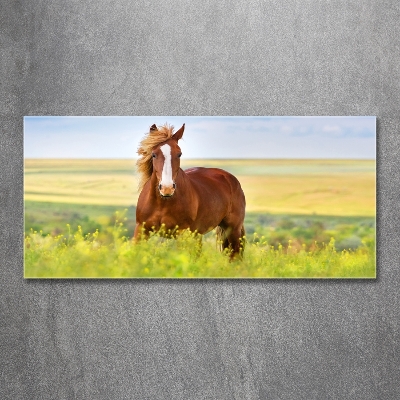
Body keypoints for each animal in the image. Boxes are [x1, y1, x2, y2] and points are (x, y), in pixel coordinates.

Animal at [134, 123, 245, 258]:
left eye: (179, 154)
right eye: (154, 154)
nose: (167, 188)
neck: (162, 203)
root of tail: (230, 178)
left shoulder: (182, 234)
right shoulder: (141, 231)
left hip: (233, 230)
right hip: (199, 235)